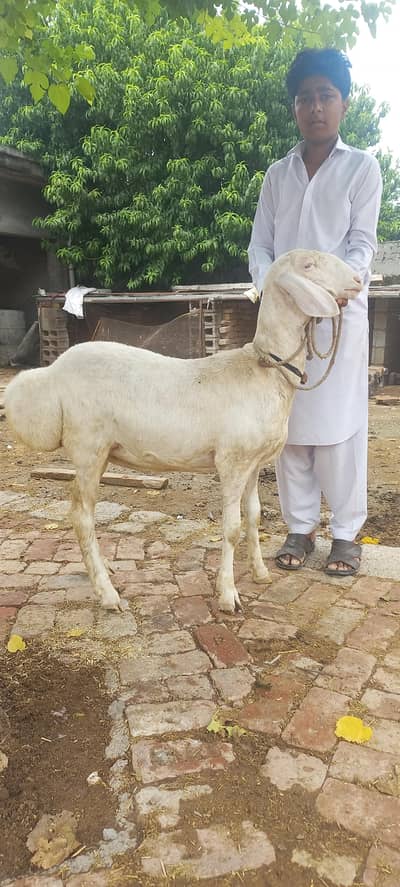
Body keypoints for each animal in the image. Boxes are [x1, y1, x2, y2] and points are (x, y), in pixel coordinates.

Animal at [5, 250, 362, 614]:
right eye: (308, 265)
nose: (358, 280)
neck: (265, 368)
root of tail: (53, 372)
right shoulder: (231, 461)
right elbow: (232, 528)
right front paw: (228, 595)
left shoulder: (253, 462)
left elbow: (253, 518)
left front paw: (261, 574)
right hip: (87, 446)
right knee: (81, 516)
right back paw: (107, 594)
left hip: (100, 451)